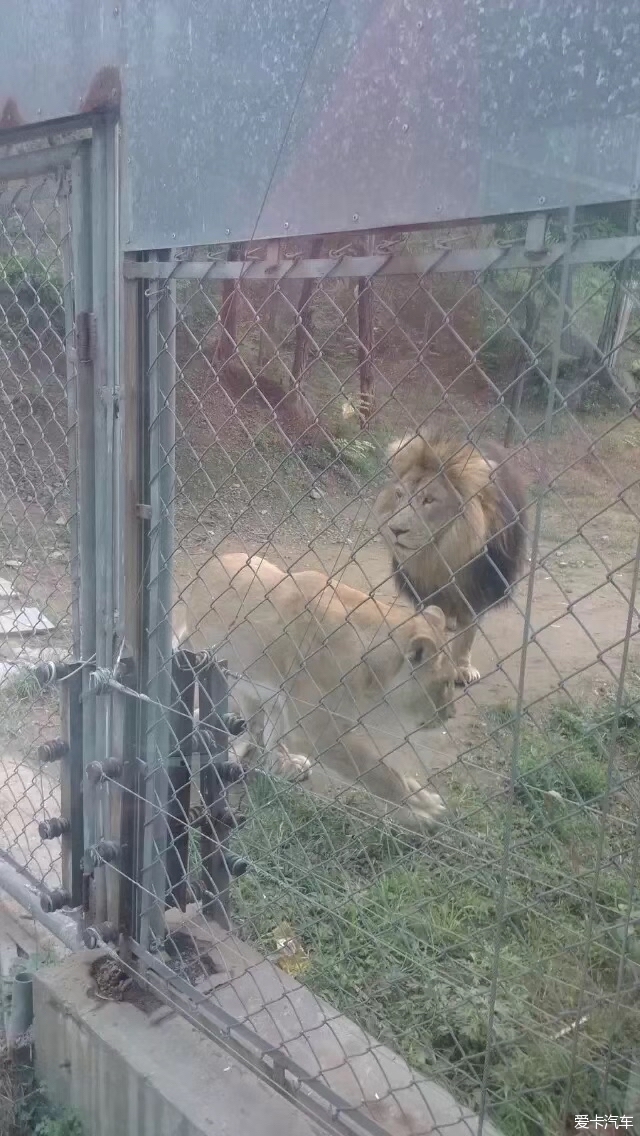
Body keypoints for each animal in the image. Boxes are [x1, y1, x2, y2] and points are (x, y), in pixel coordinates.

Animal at [172, 552, 459, 831]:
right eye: (446, 683)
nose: (452, 714)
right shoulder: (316, 731)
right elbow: (375, 770)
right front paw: (419, 812)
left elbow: (386, 768)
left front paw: (420, 798)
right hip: (237, 682)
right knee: (248, 727)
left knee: (265, 733)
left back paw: (285, 764)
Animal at [372, 429, 527, 681]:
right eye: (399, 495)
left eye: (428, 500)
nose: (395, 529)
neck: (443, 554)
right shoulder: (425, 590)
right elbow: (433, 622)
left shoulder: (477, 587)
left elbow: (468, 634)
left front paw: (462, 668)